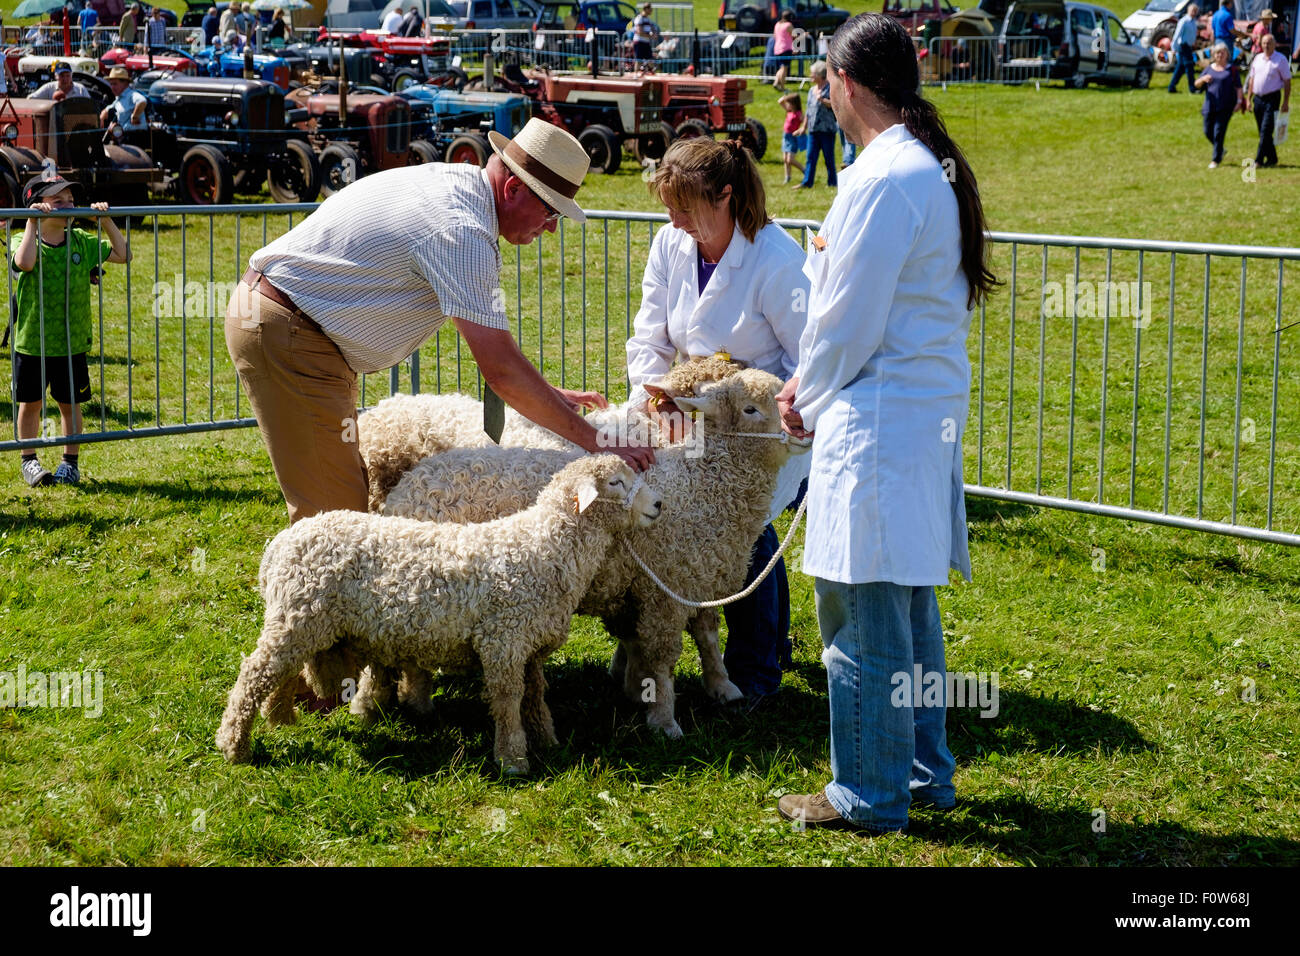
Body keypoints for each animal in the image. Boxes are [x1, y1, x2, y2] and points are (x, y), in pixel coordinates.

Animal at [218, 452, 665, 775]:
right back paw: (234, 744)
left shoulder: (529, 643)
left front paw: (547, 740)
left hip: (299, 620)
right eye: (615, 482)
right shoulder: (502, 641)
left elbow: (535, 694)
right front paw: (512, 759)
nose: (659, 504)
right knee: (254, 672)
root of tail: (279, 545)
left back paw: (279, 717)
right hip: (297, 616)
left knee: (279, 670)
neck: (543, 546)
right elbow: (507, 699)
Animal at [377, 369, 806, 738]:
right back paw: (415, 702)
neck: (701, 483)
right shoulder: (665, 589)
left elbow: (708, 636)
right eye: (750, 409)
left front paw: (722, 687)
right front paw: (664, 719)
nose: (801, 430)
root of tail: (408, 487)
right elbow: (663, 657)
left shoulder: (698, 576)